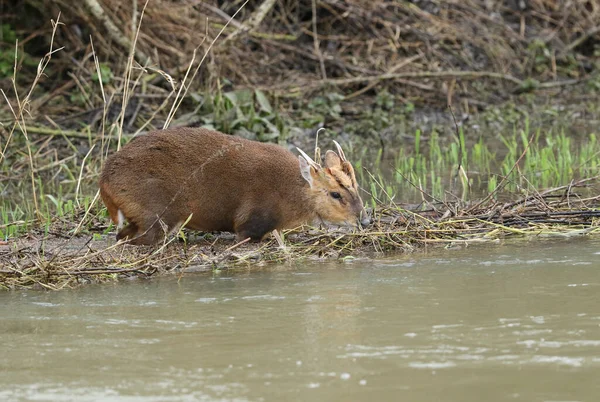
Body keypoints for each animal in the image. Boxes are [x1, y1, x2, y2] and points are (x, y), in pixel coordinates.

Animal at [99, 128, 370, 245]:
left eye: (357, 187)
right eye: (335, 194)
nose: (365, 220)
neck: (291, 195)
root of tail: (104, 181)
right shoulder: (249, 222)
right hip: (156, 213)